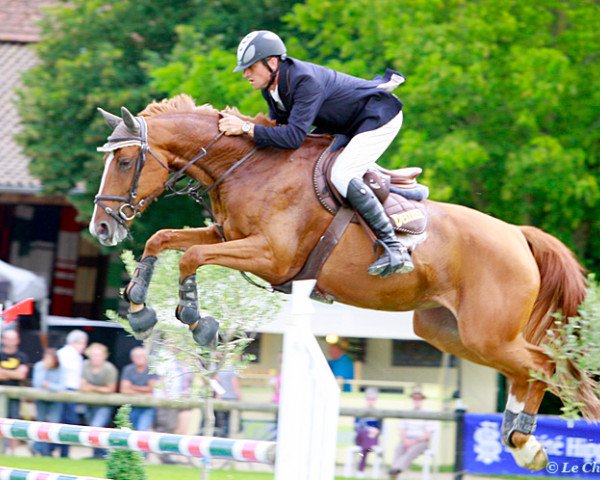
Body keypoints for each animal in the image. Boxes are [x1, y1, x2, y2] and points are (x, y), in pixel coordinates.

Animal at [90, 94, 600, 468]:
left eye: (125, 162)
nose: (102, 228)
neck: (249, 166)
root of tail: (518, 234)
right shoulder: (229, 237)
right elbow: (163, 239)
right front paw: (140, 309)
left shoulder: (271, 256)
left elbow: (192, 256)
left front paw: (198, 320)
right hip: (449, 332)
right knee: (532, 369)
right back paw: (522, 439)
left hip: (486, 333)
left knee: (544, 364)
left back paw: (524, 439)